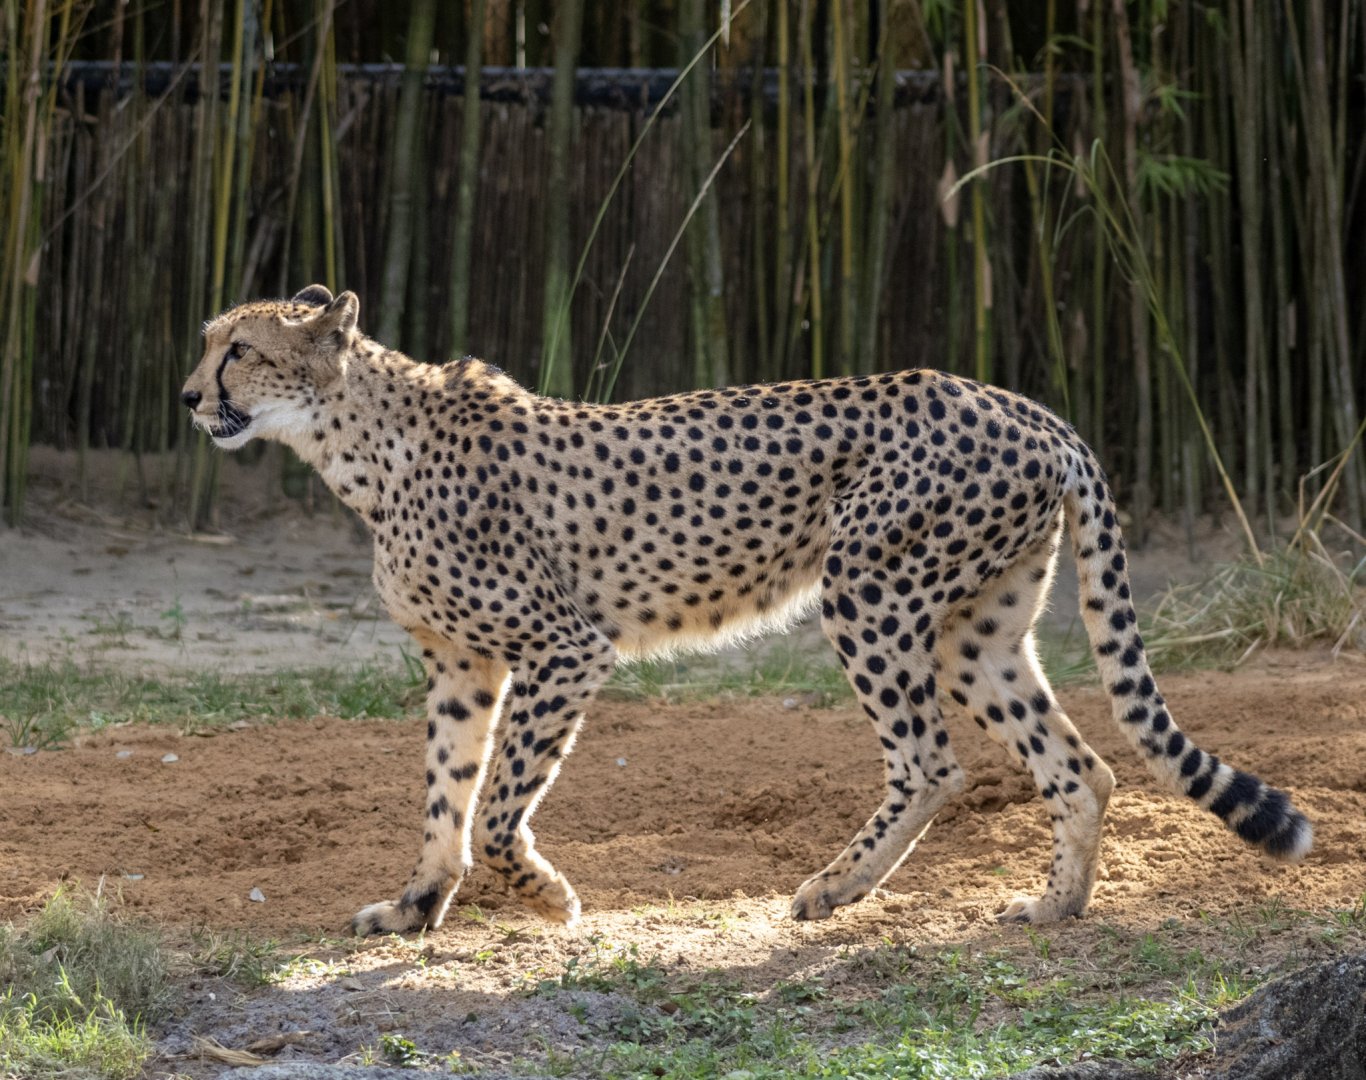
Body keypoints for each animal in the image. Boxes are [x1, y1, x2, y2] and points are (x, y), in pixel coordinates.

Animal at [181, 285, 1313, 936]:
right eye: (209, 344)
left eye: (240, 350)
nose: (191, 397)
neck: (359, 446)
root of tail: (1021, 403)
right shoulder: (460, 664)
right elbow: (445, 797)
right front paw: (419, 902)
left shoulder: (562, 649)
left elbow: (498, 808)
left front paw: (545, 897)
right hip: (976, 630)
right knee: (1079, 766)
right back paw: (1055, 905)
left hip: (869, 590)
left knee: (930, 761)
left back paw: (833, 890)